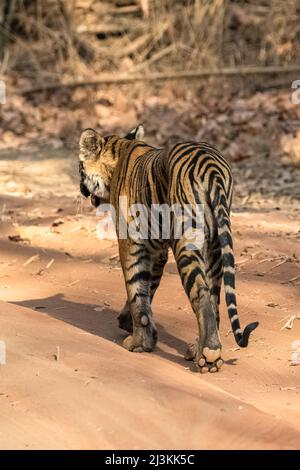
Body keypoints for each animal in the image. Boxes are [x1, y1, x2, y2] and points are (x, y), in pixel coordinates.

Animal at [79, 123, 258, 372]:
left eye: (79, 168)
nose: (80, 189)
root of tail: (211, 164)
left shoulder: (130, 243)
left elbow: (136, 290)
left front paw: (138, 342)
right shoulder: (157, 251)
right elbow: (147, 289)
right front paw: (131, 325)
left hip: (187, 241)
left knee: (202, 292)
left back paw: (209, 355)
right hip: (214, 244)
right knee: (214, 296)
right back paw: (197, 350)